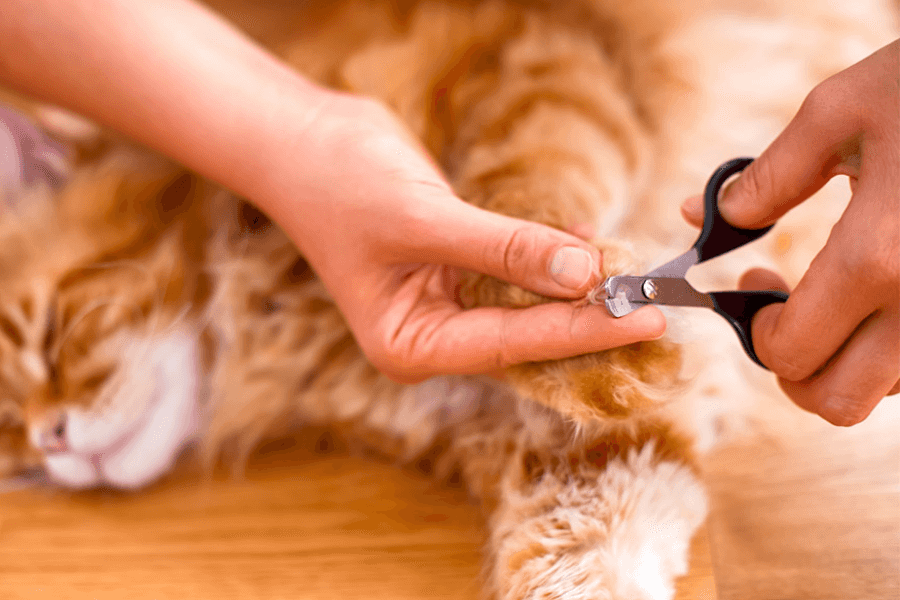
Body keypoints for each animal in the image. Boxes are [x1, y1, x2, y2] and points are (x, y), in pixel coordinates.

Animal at [0, 1, 892, 600]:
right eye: (9, 441)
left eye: (50, 334)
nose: (50, 442)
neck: (274, 333)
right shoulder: (578, 458)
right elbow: (572, 561)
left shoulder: (536, 61)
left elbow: (518, 210)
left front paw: (594, 314)